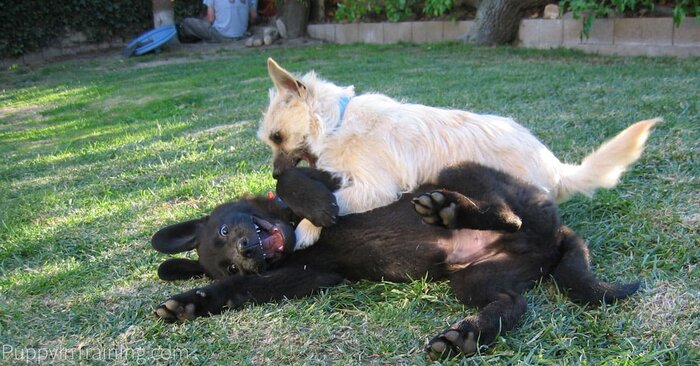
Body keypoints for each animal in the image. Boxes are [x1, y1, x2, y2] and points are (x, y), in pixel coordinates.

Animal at [153, 163, 640, 358]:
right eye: (231, 266)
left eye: (224, 230)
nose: (249, 253)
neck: (292, 236)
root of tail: (554, 234)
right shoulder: (305, 276)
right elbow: (243, 291)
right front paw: (191, 302)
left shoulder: (341, 178)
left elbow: (289, 176)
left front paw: (316, 204)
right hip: (474, 279)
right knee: (513, 303)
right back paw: (463, 337)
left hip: (462, 174)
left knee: (507, 214)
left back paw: (449, 210)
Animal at [258, 59, 656, 249]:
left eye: (277, 137)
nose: (275, 175)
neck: (337, 120)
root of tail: (557, 169)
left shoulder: (375, 188)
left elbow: (337, 203)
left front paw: (307, 228)